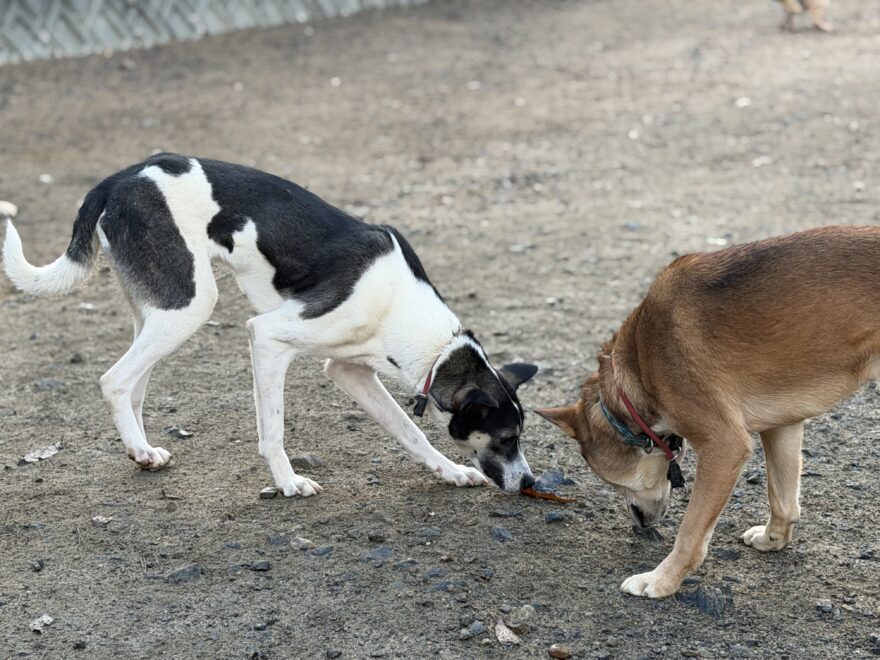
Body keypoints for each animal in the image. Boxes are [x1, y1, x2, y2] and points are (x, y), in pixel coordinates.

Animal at [3, 153, 538, 496]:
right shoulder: (267, 338)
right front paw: (287, 483)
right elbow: (273, 432)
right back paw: (137, 446)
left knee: (134, 385)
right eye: (506, 439)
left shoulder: (350, 371)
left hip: (160, 313)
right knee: (114, 379)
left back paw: (144, 452)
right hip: (189, 306)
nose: (531, 483)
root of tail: (118, 178)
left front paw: (448, 472)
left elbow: (409, 431)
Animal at [537, 226, 880, 597]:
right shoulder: (782, 426)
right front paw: (773, 538)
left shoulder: (724, 447)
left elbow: (690, 532)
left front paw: (661, 579)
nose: (639, 524)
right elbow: (783, 498)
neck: (639, 367)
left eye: (609, 481)